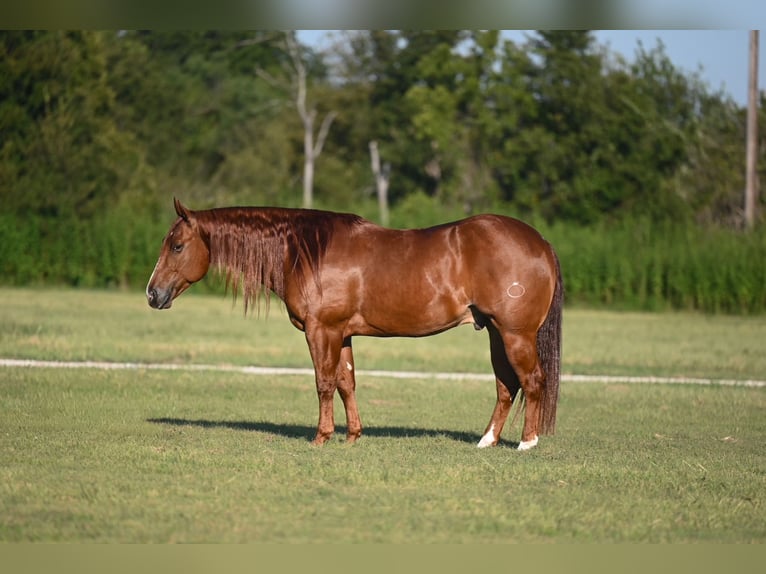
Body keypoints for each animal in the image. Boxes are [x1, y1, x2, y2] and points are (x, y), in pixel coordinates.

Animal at [146, 198, 563, 450]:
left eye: (177, 246)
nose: (153, 294)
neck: (305, 250)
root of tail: (540, 241)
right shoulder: (343, 334)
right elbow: (346, 383)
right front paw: (353, 436)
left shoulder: (322, 331)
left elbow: (324, 382)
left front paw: (321, 437)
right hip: (495, 332)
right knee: (507, 385)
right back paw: (486, 441)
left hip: (515, 334)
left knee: (531, 380)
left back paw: (527, 443)